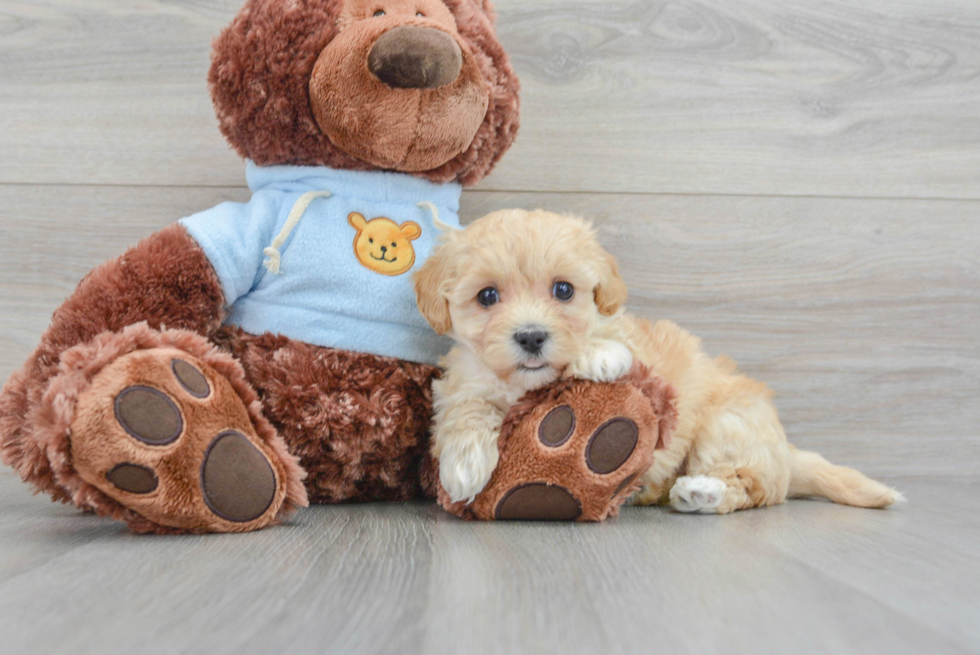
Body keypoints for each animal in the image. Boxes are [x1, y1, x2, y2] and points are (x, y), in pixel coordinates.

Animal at [414, 209, 904, 512]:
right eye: (487, 296)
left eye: (563, 290)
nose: (531, 336)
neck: (527, 384)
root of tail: (785, 450)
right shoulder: (464, 380)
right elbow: (465, 408)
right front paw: (463, 464)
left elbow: (614, 338)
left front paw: (599, 353)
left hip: (727, 425)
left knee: (750, 486)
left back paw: (701, 490)